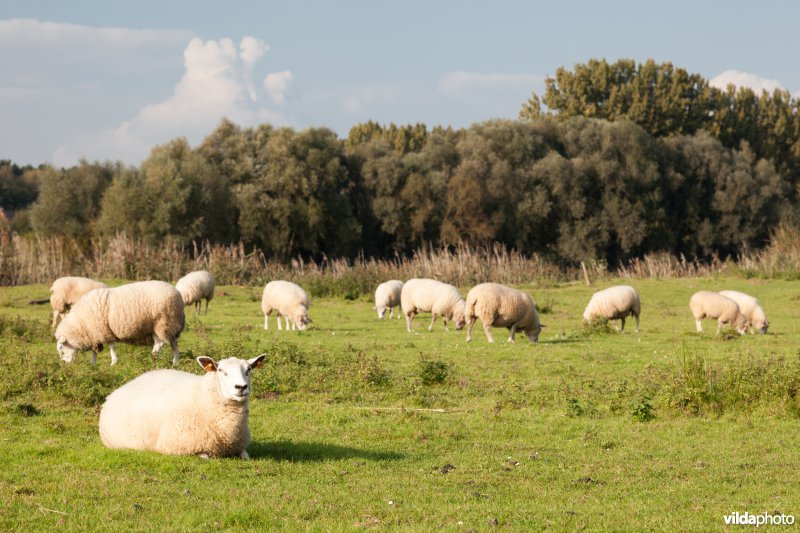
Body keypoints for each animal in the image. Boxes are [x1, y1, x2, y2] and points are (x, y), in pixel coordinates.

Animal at [55, 278, 186, 366]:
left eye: (61, 347)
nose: (64, 365)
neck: (79, 324)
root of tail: (178, 294)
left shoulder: (104, 331)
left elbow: (111, 347)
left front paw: (113, 362)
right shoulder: (94, 335)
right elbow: (95, 351)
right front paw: (93, 364)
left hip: (165, 322)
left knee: (170, 344)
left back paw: (173, 362)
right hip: (156, 326)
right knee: (161, 343)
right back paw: (156, 357)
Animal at [100, 354, 266, 458]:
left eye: (249, 370)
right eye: (221, 371)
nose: (241, 387)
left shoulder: (240, 446)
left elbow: (245, 455)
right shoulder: (182, 447)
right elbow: (205, 456)